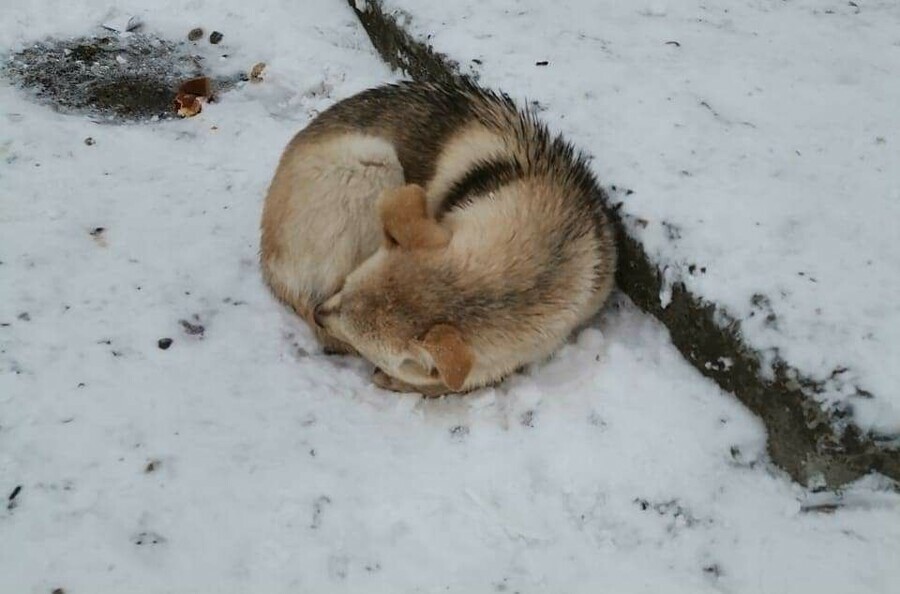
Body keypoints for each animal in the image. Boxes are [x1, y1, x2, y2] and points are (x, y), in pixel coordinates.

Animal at [256, 78, 616, 394]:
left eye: (346, 311)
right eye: (345, 290)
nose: (321, 313)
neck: (551, 255)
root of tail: (268, 258)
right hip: (376, 163)